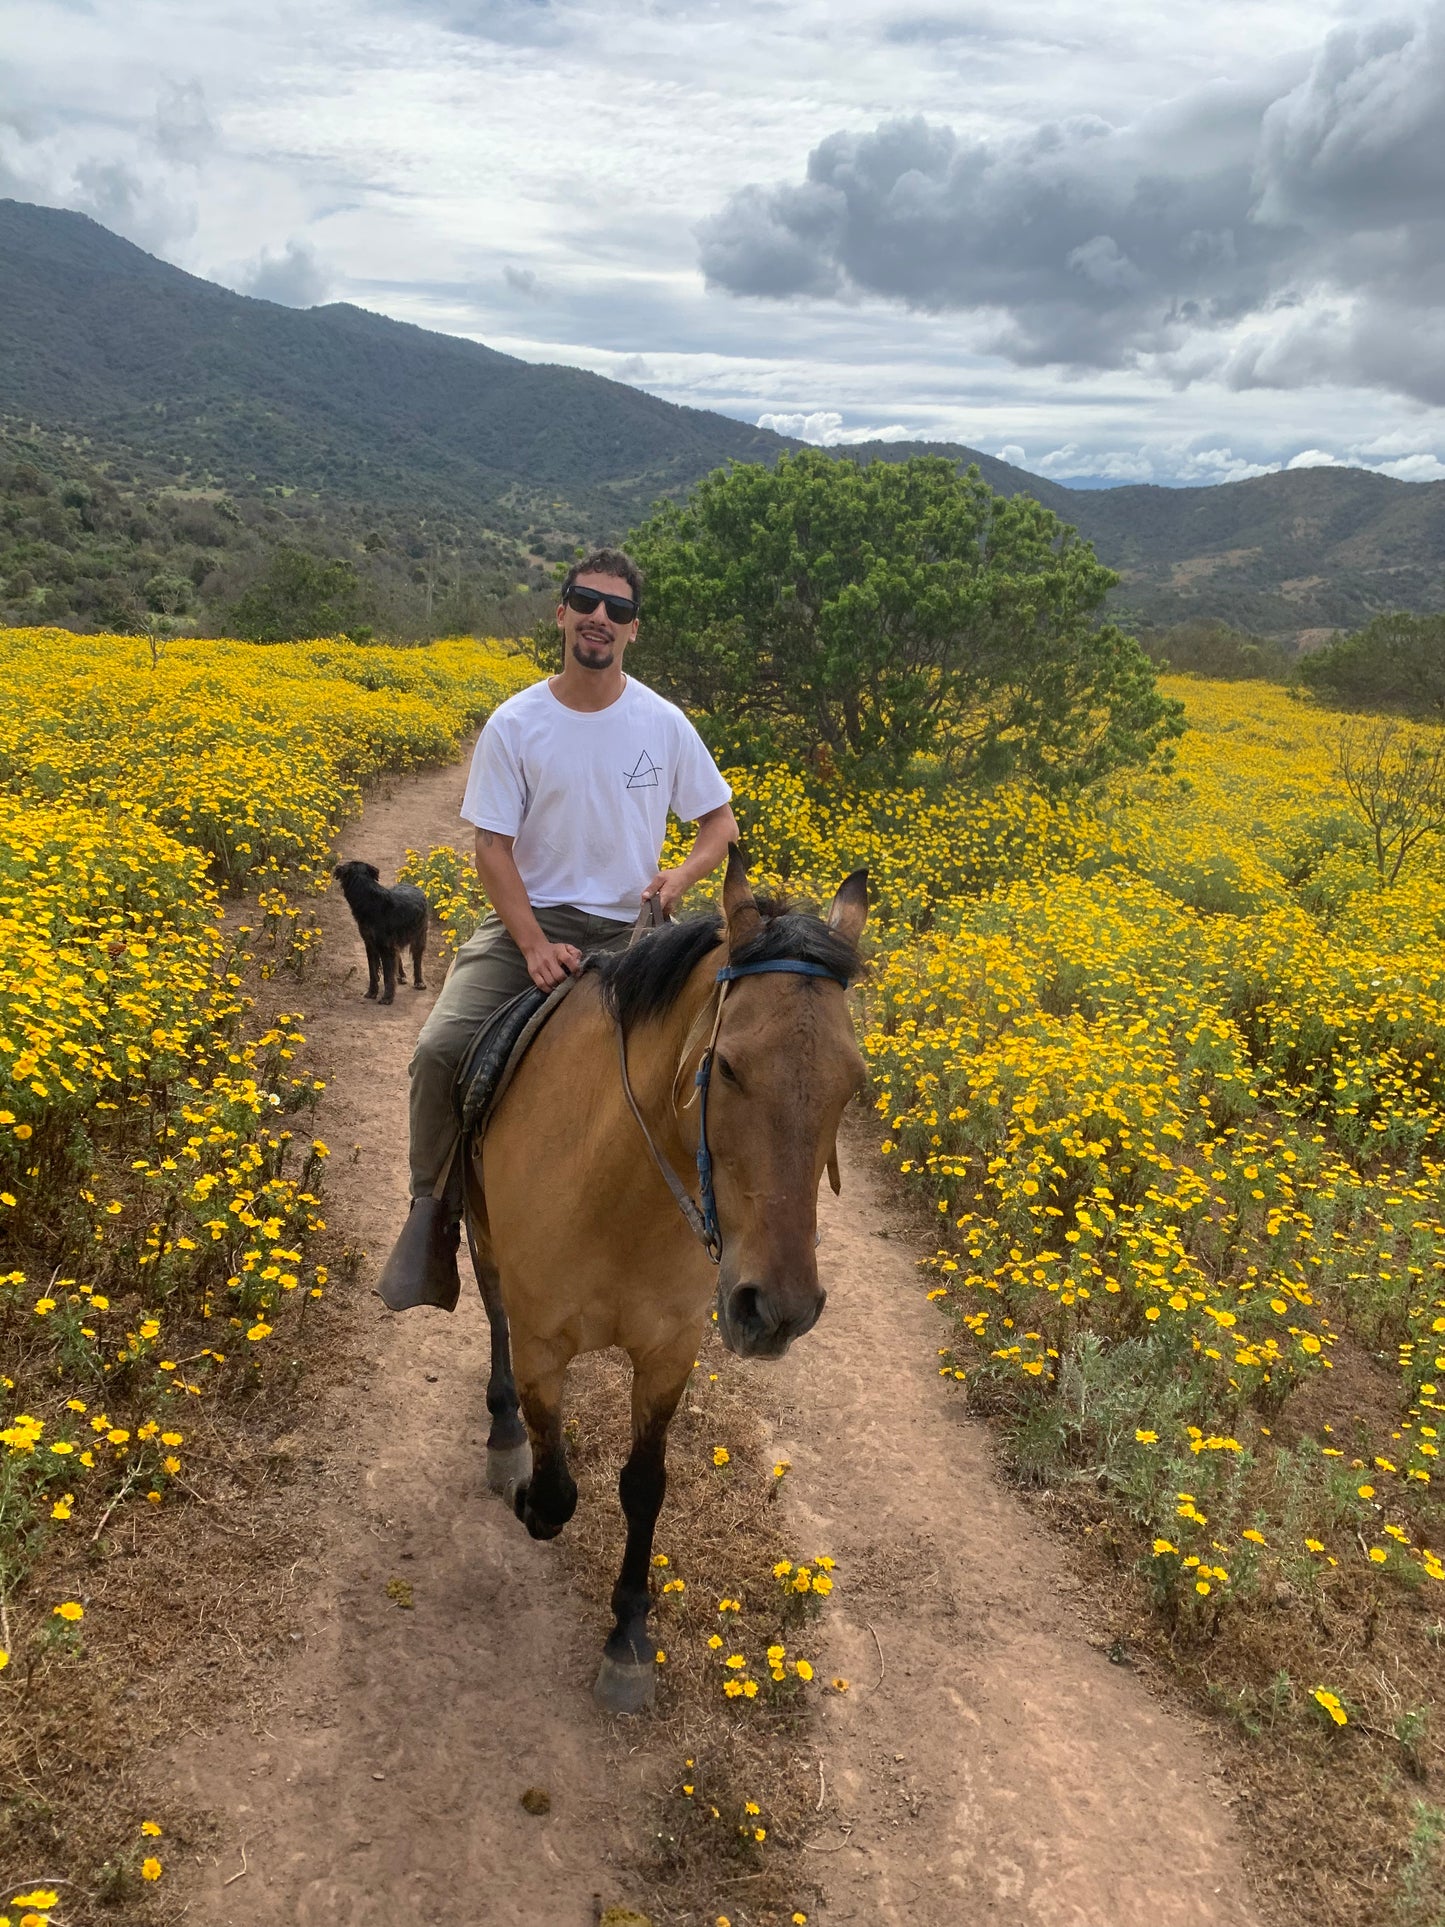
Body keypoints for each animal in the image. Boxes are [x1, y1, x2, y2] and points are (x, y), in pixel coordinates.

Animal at [333, 863, 429, 1009]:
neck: (369, 900)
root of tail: (414, 886)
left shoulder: (385, 946)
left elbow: (387, 975)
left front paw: (387, 998)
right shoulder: (370, 944)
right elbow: (373, 971)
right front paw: (372, 992)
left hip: (419, 935)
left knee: (417, 959)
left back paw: (419, 982)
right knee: (398, 955)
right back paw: (401, 975)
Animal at [470, 851, 867, 1711]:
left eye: (853, 1081)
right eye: (727, 1066)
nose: (779, 1310)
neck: (620, 1193)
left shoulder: (668, 1354)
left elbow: (643, 1485)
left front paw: (627, 1639)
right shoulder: (543, 1343)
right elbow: (555, 1494)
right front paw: (526, 1488)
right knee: (489, 1315)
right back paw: (503, 1437)